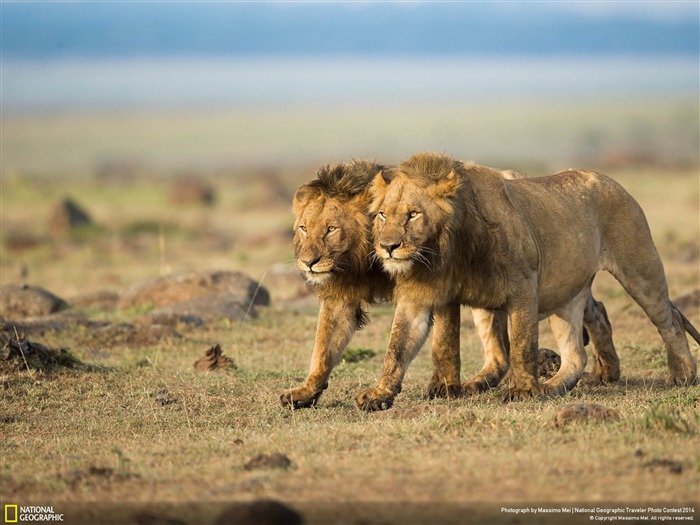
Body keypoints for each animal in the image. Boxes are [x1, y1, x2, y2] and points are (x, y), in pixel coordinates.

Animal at [358, 151, 696, 410]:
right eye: (383, 215)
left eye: (414, 214)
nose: (387, 247)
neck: (444, 252)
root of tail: (607, 179)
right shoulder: (423, 295)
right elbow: (407, 346)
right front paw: (384, 394)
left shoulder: (523, 286)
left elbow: (521, 343)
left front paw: (522, 390)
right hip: (565, 291)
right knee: (576, 350)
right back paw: (568, 381)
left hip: (639, 268)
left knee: (669, 320)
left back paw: (684, 375)